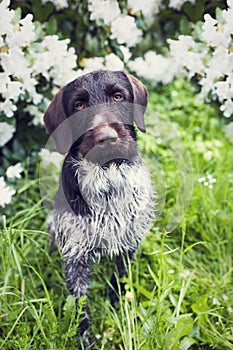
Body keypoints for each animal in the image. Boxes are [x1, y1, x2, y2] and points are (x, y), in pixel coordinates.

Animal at [43, 70, 154, 348]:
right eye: (79, 106)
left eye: (118, 96)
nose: (107, 138)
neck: (108, 181)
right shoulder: (75, 257)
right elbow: (80, 305)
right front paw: (84, 339)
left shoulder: (128, 244)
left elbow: (120, 280)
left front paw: (119, 309)